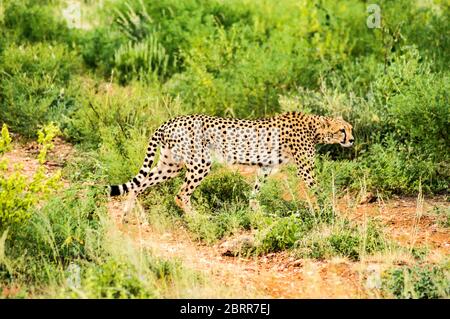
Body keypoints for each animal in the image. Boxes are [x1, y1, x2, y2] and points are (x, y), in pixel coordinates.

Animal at [110, 112, 356, 215]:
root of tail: (169, 121)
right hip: (200, 162)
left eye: (351, 128)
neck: (314, 128)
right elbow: (319, 190)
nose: (352, 140)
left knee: (140, 185)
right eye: (342, 130)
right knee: (181, 194)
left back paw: (129, 215)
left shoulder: (266, 166)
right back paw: (198, 220)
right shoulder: (305, 169)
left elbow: (256, 189)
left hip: (171, 165)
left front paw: (255, 210)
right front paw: (332, 211)